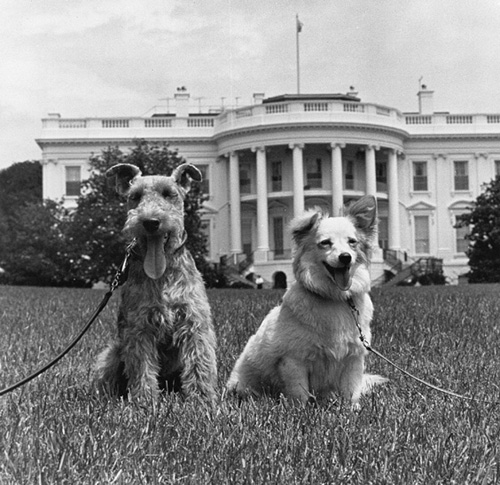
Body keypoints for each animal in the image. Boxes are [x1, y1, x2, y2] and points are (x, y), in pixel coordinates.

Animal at [94, 163, 218, 400]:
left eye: (169, 194)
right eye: (135, 196)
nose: (150, 222)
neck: (163, 274)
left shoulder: (194, 323)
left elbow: (198, 363)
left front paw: (202, 399)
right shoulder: (140, 328)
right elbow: (142, 368)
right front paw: (144, 401)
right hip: (112, 353)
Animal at [227, 195, 386, 406]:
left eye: (353, 242)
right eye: (325, 243)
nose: (345, 257)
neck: (336, 298)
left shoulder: (354, 357)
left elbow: (351, 390)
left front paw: (353, 409)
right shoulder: (294, 360)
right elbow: (300, 392)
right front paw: (300, 410)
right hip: (243, 382)